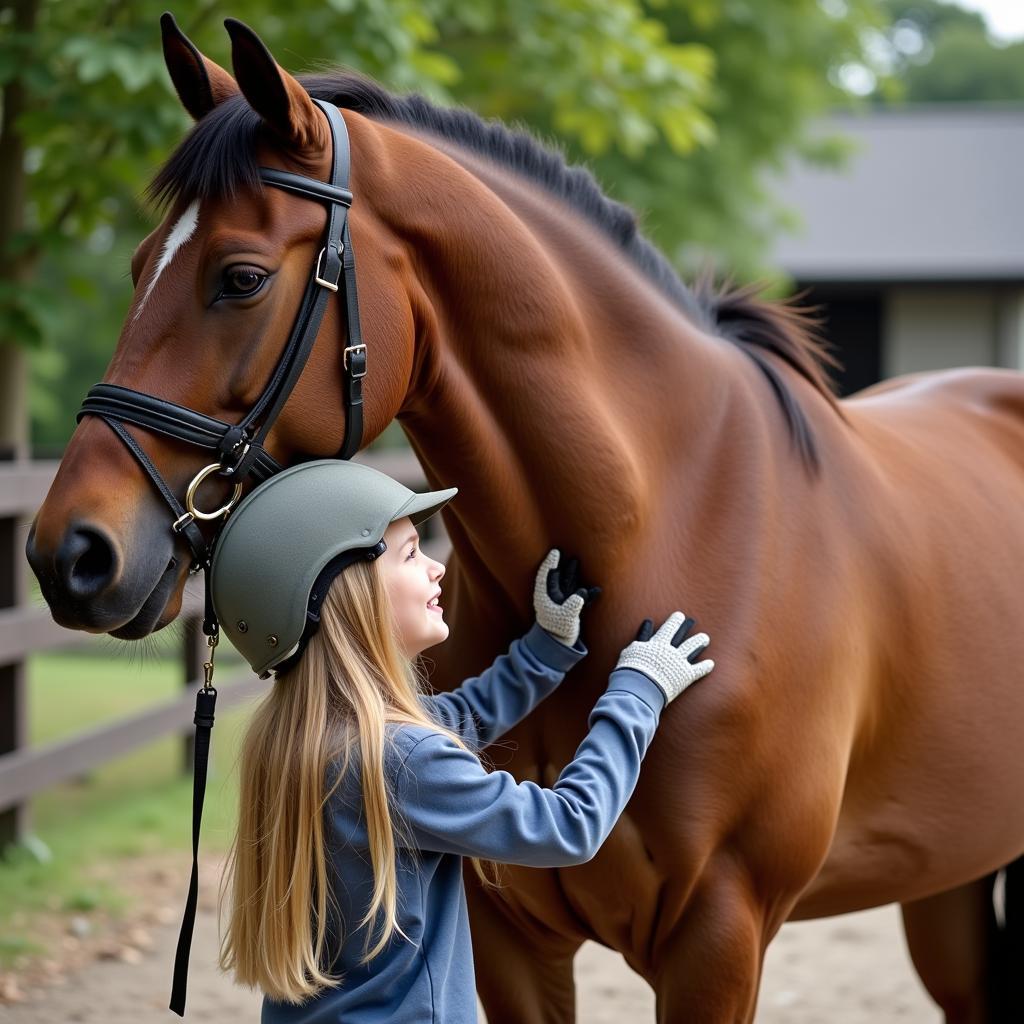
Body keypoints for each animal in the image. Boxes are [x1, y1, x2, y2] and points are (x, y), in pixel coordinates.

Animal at [22, 16, 1024, 1024]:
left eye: (240, 277)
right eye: (139, 265)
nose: (68, 554)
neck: (667, 525)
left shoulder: (720, 935)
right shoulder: (510, 936)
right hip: (947, 875)